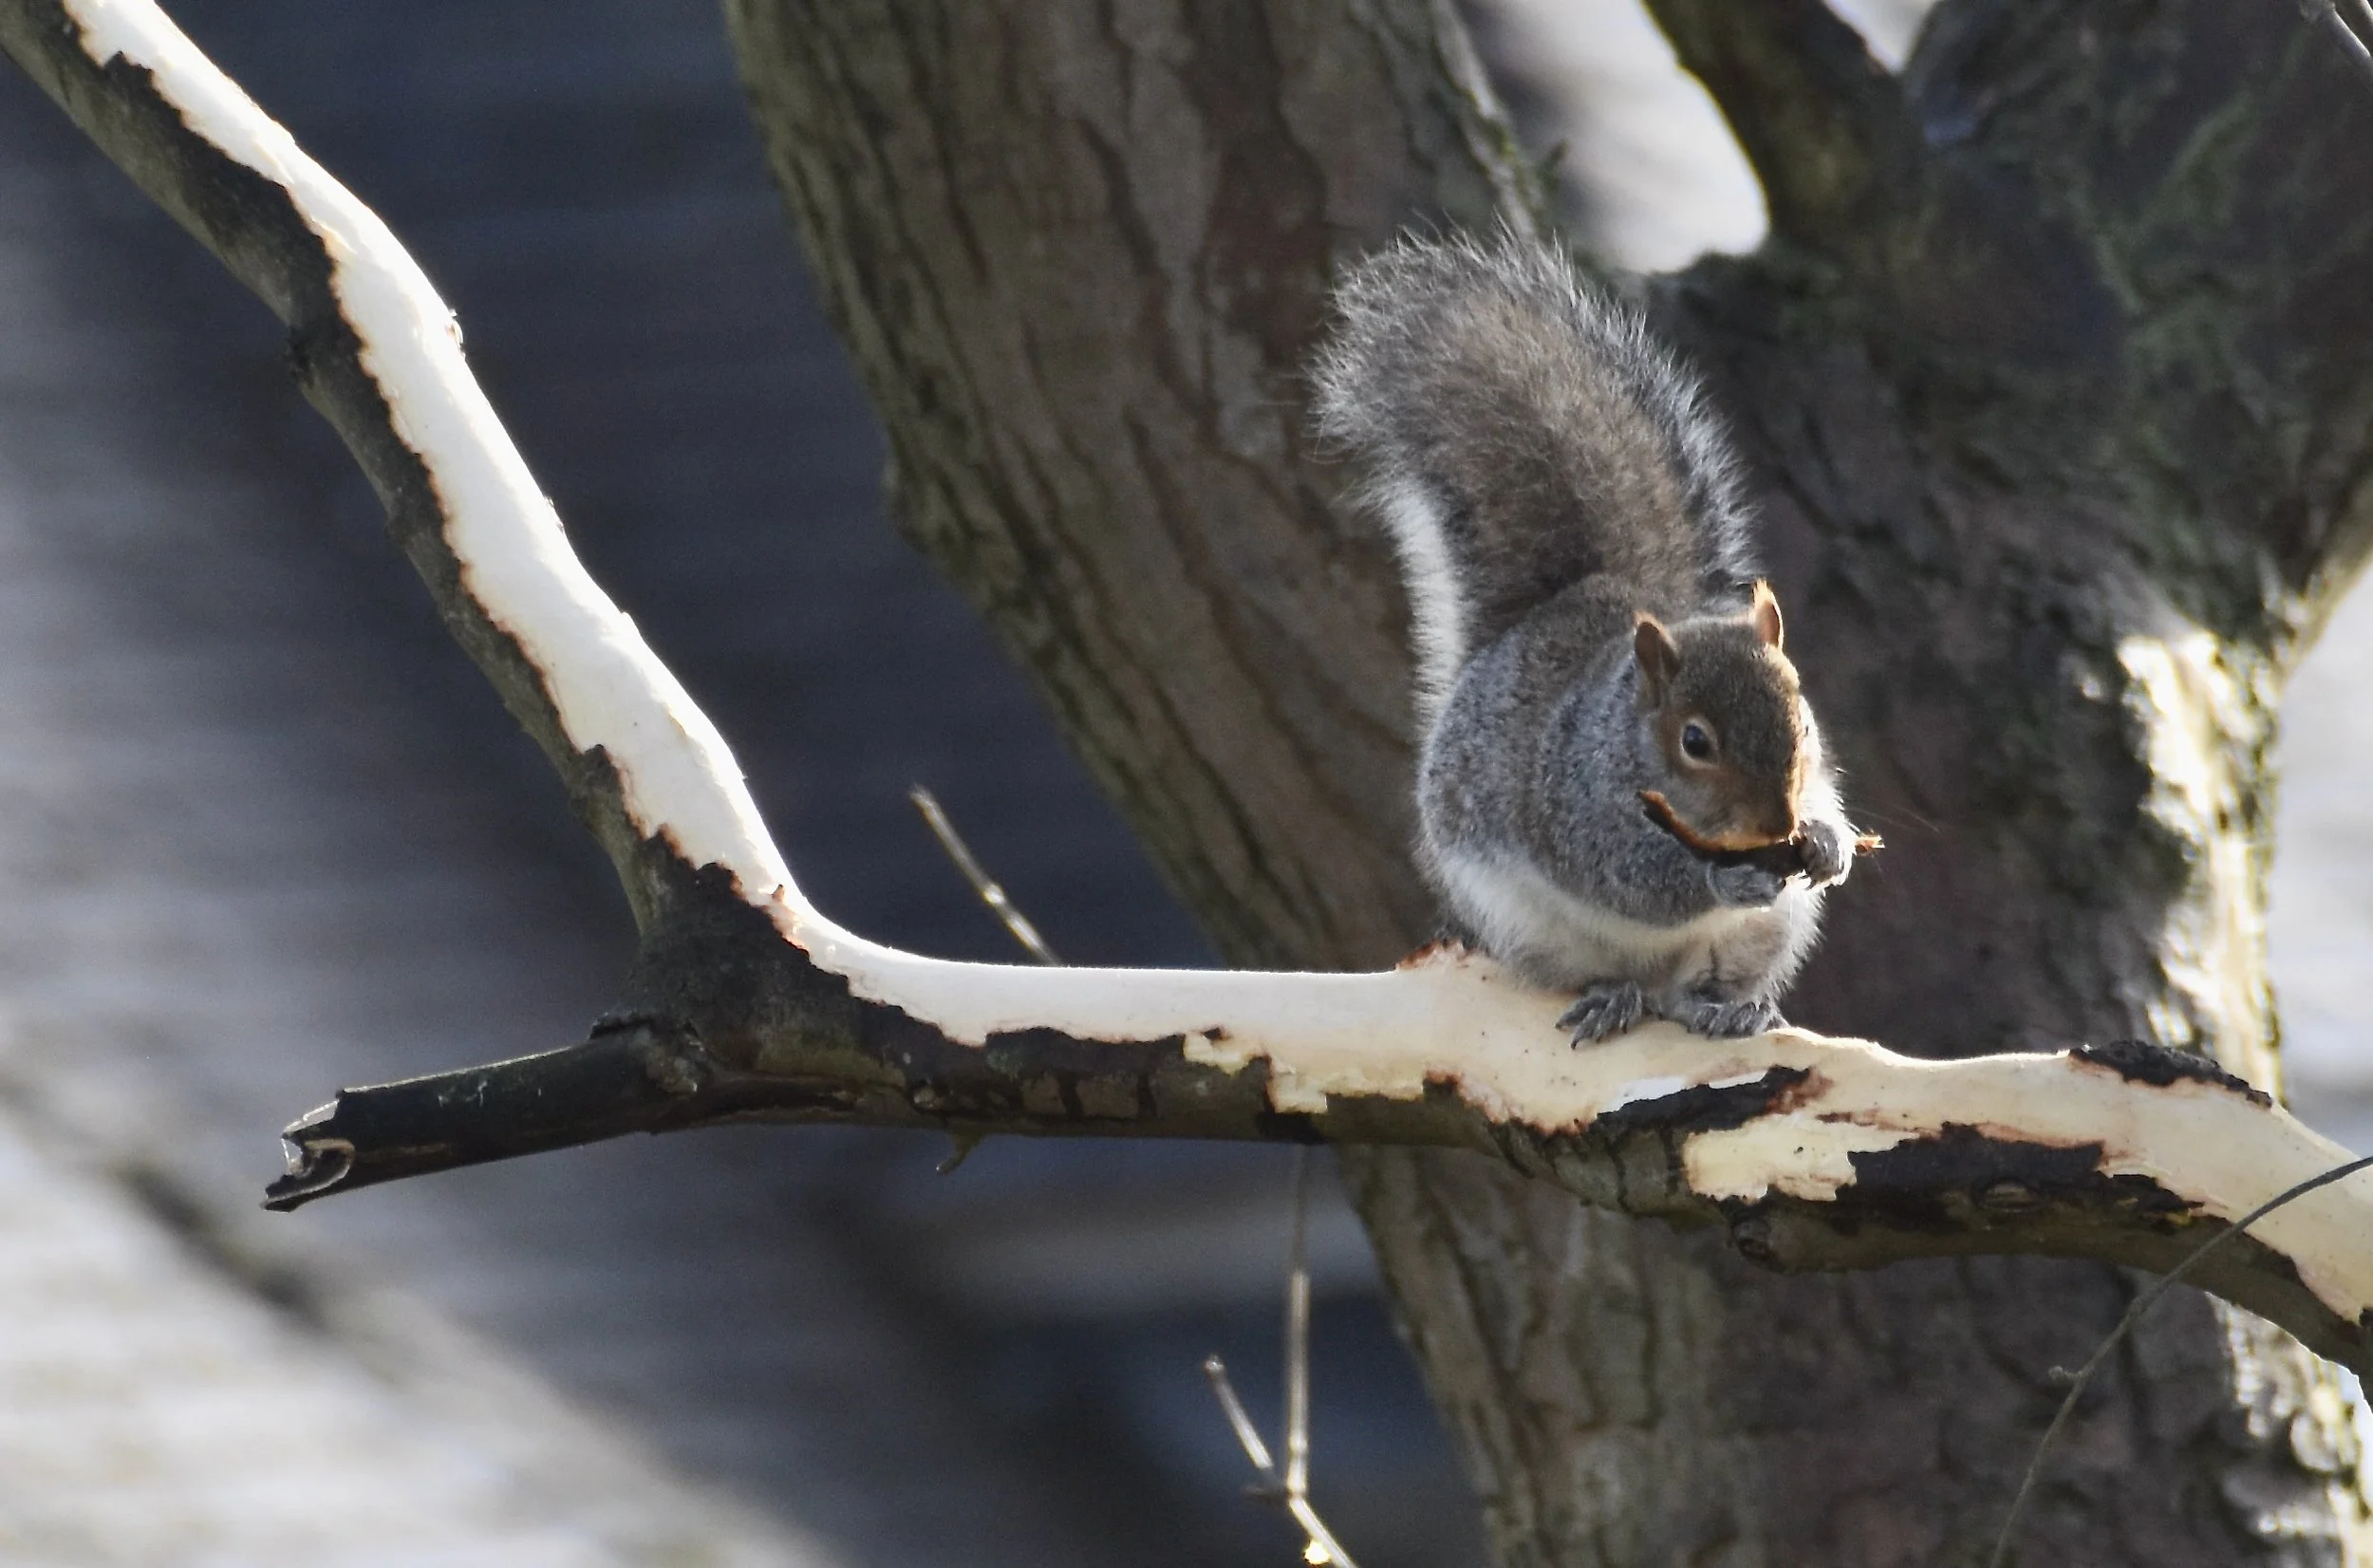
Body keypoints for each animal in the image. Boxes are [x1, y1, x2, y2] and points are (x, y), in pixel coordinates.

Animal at [1313, 232, 1866, 1043]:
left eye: (1802, 714)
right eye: (1694, 741)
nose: (1778, 823)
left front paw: (1828, 843)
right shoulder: (1577, 802)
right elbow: (1632, 878)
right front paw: (1720, 877)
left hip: (1765, 936)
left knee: (1696, 989)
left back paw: (1729, 1008)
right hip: (1527, 926)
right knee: (1606, 977)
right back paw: (1615, 997)